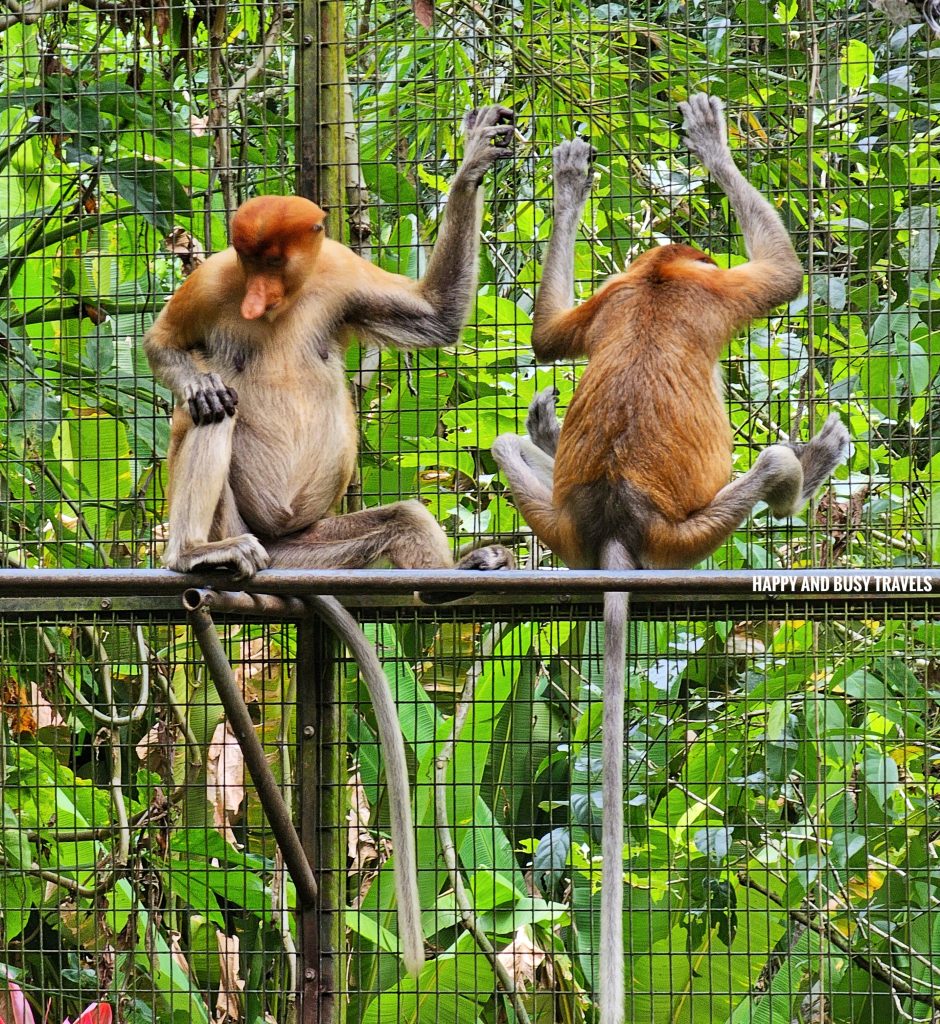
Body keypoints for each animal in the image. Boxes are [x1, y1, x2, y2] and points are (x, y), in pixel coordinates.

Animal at [144, 103, 518, 974]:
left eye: (277, 263)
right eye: (250, 265)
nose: (254, 303)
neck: (284, 297)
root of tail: (274, 546)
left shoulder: (338, 270)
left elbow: (435, 318)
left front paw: (475, 159)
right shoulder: (212, 277)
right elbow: (163, 343)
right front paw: (197, 373)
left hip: (313, 544)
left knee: (403, 519)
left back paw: (454, 575)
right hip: (239, 521)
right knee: (208, 412)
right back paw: (196, 552)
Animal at [493, 94, 851, 1024]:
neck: (658, 277)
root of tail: (620, 525)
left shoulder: (615, 291)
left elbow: (549, 337)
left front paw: (570, 180)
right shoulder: (715, 288)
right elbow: (782, 280)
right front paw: (714, 147)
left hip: (567, 530)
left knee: (510, 442)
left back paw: (544, 432)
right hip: (685, 537)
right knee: (773, 465)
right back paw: (808, 465)